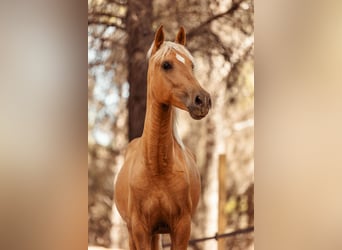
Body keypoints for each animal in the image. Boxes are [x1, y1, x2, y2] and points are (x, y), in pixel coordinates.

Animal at [115, 25, 211, 250]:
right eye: (166, 65)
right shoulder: (140, 229)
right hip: (134, 232)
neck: (157, 168)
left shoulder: (182, 228)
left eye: (192, 66)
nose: (202, 100)